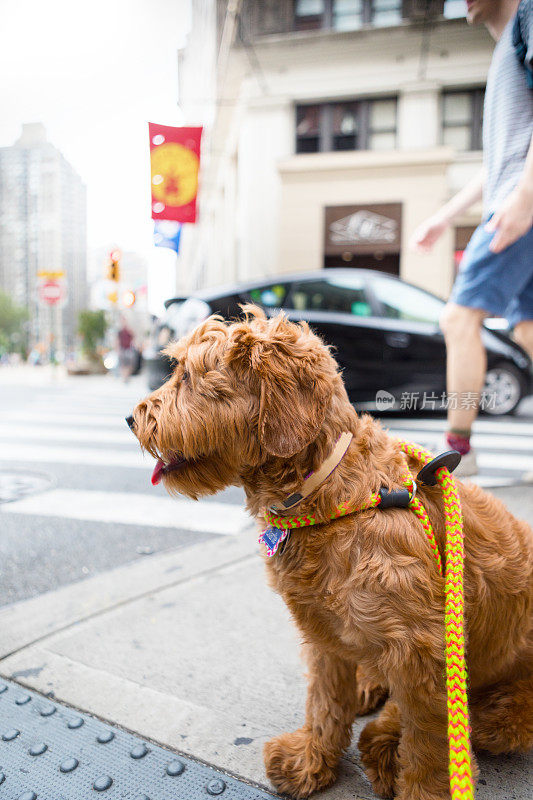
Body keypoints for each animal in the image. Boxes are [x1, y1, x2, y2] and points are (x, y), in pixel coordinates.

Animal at [129, 308, 532, 800]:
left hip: (502, 708)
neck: (332, 494)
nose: (129, 418)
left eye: (188, 375)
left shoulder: (422, 654)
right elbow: (324, 703)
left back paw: (385, 741)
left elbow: (431, 746)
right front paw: (311, 762)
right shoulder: (323, 633)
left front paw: (418, 783)